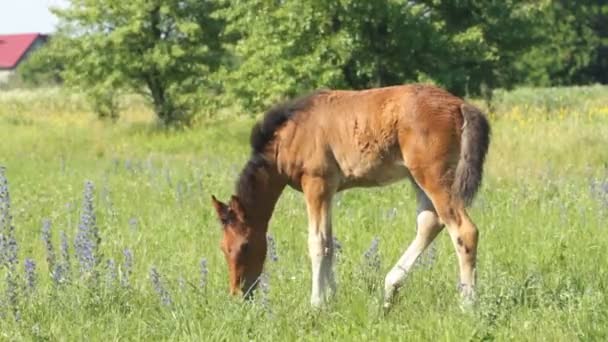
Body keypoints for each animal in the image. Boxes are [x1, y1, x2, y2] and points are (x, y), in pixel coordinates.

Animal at [211, 84, 492, 308]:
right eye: (223, 248)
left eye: (245, 245)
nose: (238, 293)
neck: (291, 134)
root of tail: (460, 105)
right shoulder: (329, 189)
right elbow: (329, 242)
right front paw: (331, 297)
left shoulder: (316, 183)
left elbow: (317, 242)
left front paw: (316, 303)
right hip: (418, 178)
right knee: (430, 223)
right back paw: (390, 289)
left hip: (433, 176)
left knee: (464, 230)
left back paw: (467, 304)